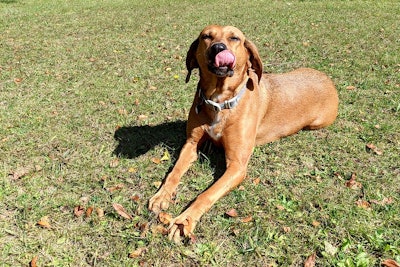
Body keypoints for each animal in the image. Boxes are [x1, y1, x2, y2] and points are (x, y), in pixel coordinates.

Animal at [148, 25, 338, 243]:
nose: (218, 48)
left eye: (235, 38)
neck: (220, 101)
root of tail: (328, 79)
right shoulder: (191, 143)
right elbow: (174, 172)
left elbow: (206, 194)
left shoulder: (237, 166)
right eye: (206, 36)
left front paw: (184, 221)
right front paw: (162, 195)